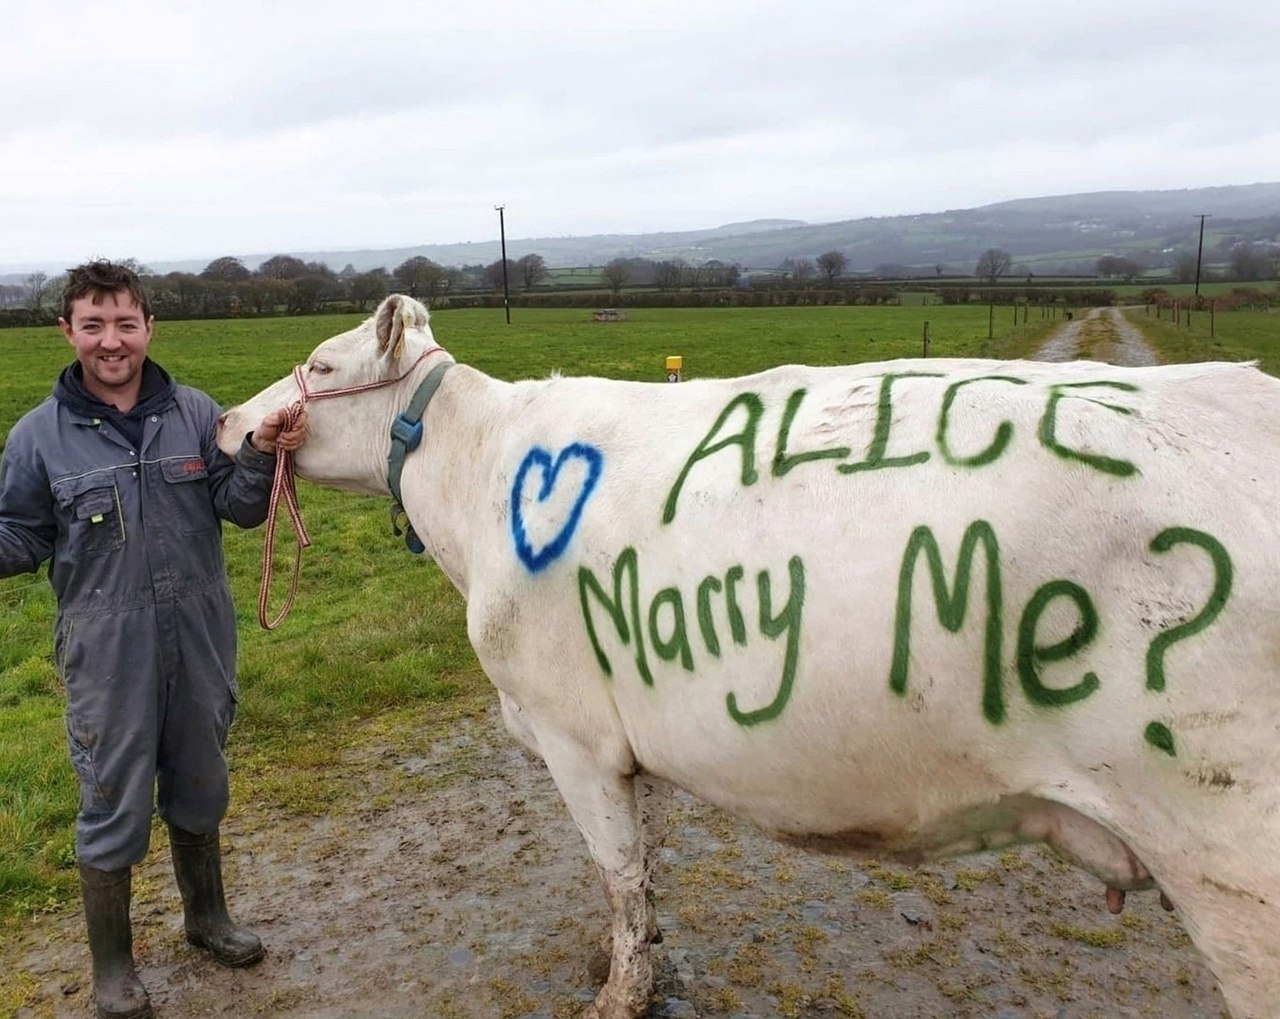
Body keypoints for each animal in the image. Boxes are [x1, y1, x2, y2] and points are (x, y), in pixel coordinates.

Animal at [217, 294, 1280, 1019]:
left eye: (318, 363)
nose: (229, 422)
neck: (477, 483)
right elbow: (644, 872)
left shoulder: (571, 732)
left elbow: (619, 871)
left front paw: (621, 994)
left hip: (1230, 860)